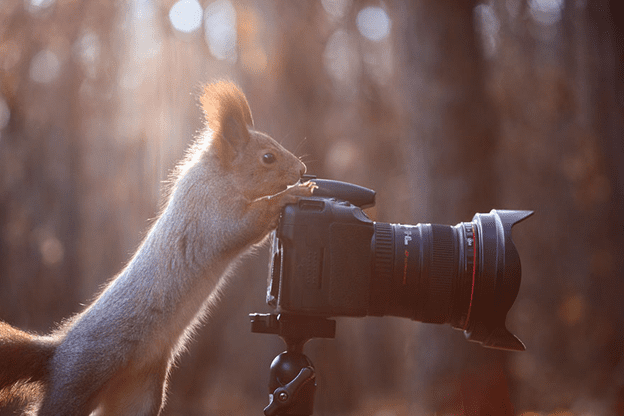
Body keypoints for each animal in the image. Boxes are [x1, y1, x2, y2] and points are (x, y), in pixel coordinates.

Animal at [0, 79, 312, 414]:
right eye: (268, 157)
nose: (302, 169)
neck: (218, 176)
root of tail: (57, 355)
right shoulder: (211, 216)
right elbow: (248, 222)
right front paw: (293, 194)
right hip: (78, 381)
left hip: (140, 394)